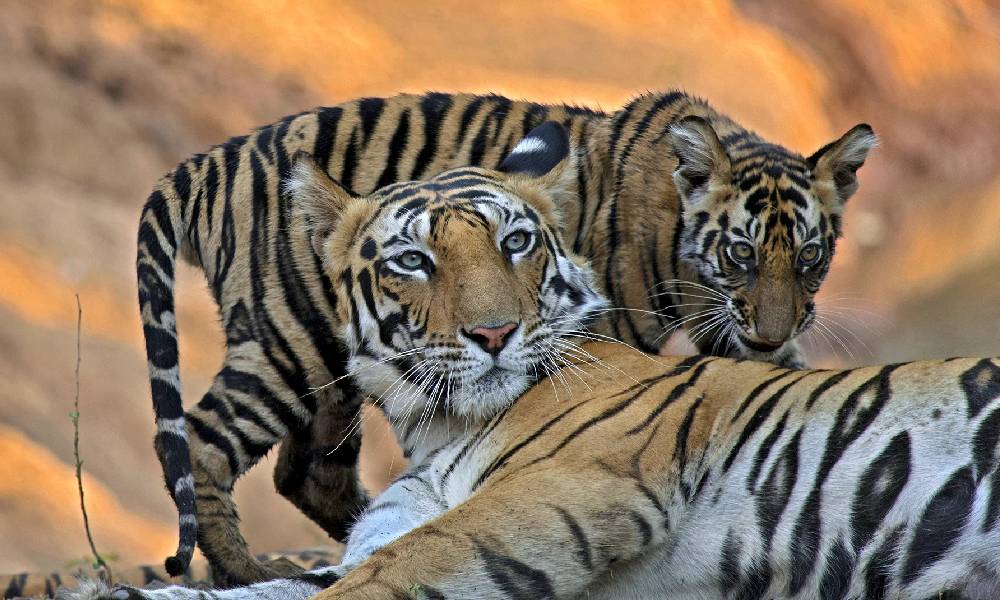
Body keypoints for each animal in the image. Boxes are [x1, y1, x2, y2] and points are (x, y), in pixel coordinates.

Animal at [138, 89, 877, 583]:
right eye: (741, 254)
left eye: (810, 257)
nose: (770, 330)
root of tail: (208, 162)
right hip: (294, 344)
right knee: (201, 442)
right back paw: (246, 574)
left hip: (329, 380)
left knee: (309, 471)